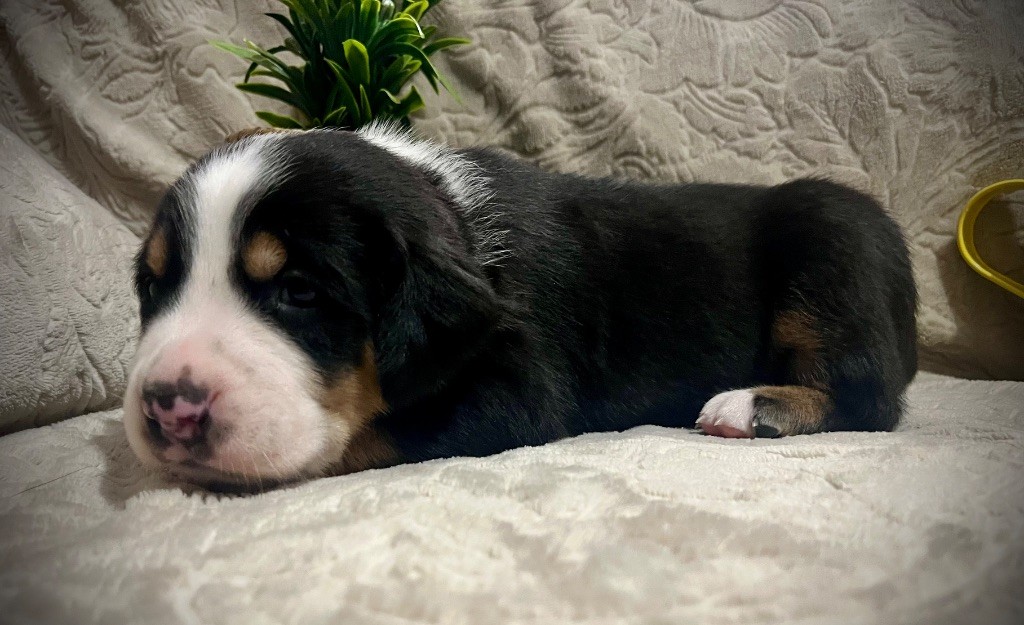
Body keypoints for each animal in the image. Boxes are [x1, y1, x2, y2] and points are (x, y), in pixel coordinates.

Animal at [123, 123, 917, 489]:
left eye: (299, 292)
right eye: (155, 285)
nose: (167, 406)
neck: (458, 225)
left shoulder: (519, 393)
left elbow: (368, 433)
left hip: (831, 238)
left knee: (871, 396)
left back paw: (752, 406)